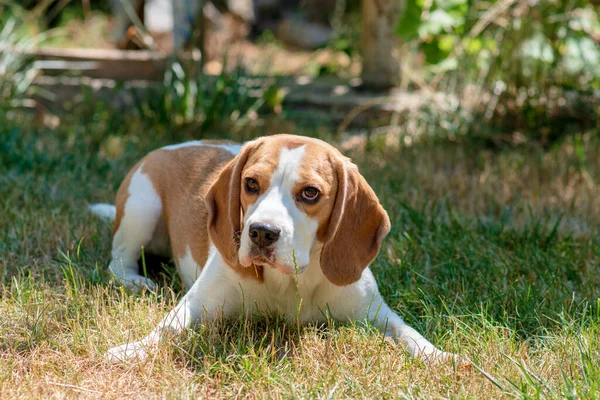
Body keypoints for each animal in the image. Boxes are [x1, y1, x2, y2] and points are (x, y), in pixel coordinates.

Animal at [91, 134, 462, 362]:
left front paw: (440, 356)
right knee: (117, 261)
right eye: (250, 184)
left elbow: (409, 333)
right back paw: (135, 281)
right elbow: (166, 330)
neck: (291, 282)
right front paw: (132, 350)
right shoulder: (196, 305)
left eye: (310, 193)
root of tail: (170, 146)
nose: (261, 233)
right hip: (142, 207)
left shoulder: (376, 312)